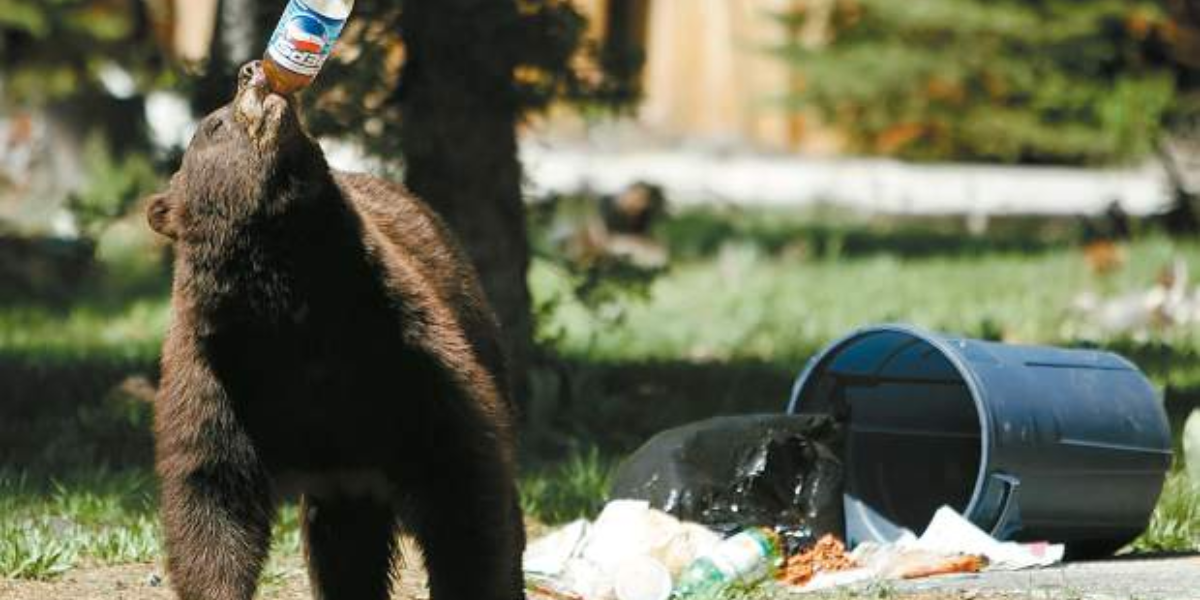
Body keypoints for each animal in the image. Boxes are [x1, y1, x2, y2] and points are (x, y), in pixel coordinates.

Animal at [145, 59, 525, 600]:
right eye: (213, 125)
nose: (250, 70)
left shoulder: (402, 350)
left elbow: (463, 488)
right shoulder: (217, 375)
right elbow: (211, 497)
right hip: (342, 470)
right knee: (344, 538)